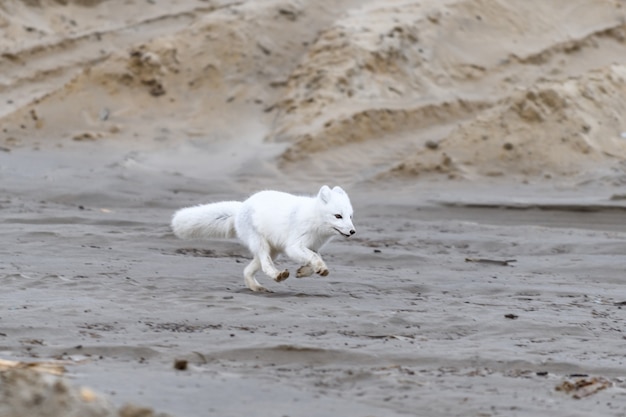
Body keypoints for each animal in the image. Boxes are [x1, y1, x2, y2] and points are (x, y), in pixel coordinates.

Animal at [171, 185, 356, 292]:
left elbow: (314, 259)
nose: (353, 231)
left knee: (247, 270)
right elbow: (314, 258)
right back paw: (277, 276)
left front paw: (305, 271)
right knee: (266, 266)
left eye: (350, 216)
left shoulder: (312, 247)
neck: (315, 221)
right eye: (338, 216)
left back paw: (257, 287)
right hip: (262, 245)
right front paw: (319, 268)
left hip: (273, 251)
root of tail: (241, 207)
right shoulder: (294, 246)